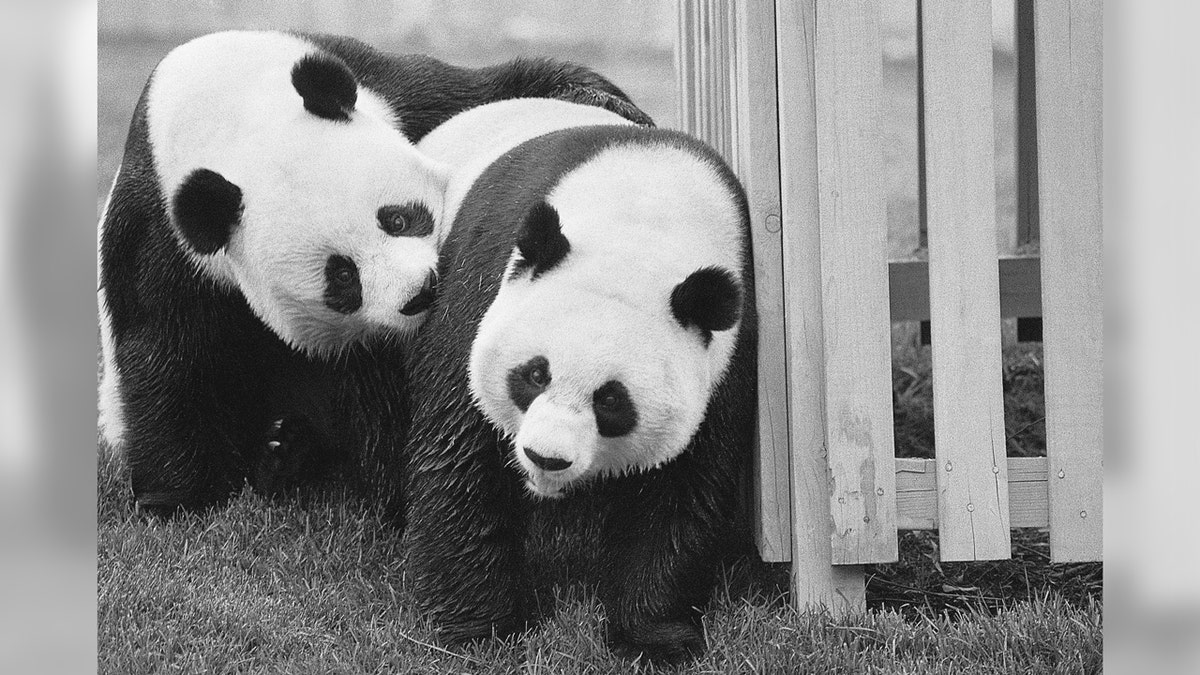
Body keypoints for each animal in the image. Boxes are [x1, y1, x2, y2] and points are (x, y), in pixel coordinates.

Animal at [98, 31, 650, 514]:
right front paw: (179, 496)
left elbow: (491, 88)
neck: (229, 113)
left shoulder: (397, 93)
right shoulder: (162, 236)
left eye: (398, 218)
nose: (420, 294)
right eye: (341, 276)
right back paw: (285, 451)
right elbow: (165, 349)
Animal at [394, 101, 757, 664]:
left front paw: (655, 636)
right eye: (534, 374)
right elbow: (461, 452)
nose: (546, 458)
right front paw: (477, 630)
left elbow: (684, 489)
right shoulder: (481, 283)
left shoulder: (726, 356)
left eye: (611, 401)